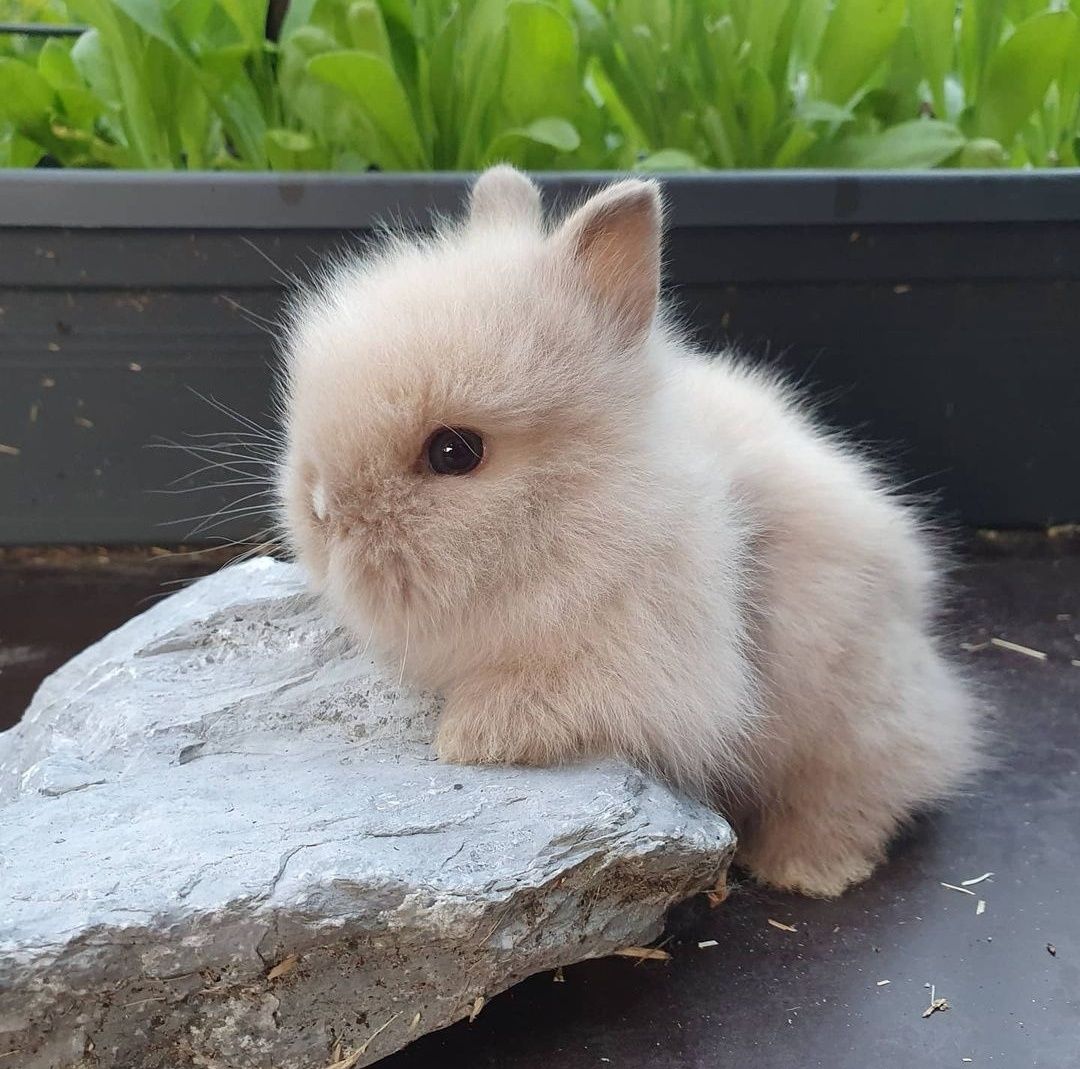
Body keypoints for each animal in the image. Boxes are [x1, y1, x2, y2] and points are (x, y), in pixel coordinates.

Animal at [278, 167, 980, 898]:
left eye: (455, 452)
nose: (324, 515)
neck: (586, 504)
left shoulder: (643, 663)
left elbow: (545, 698)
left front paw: (464, 740)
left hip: (856, 722)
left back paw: (803, 871)